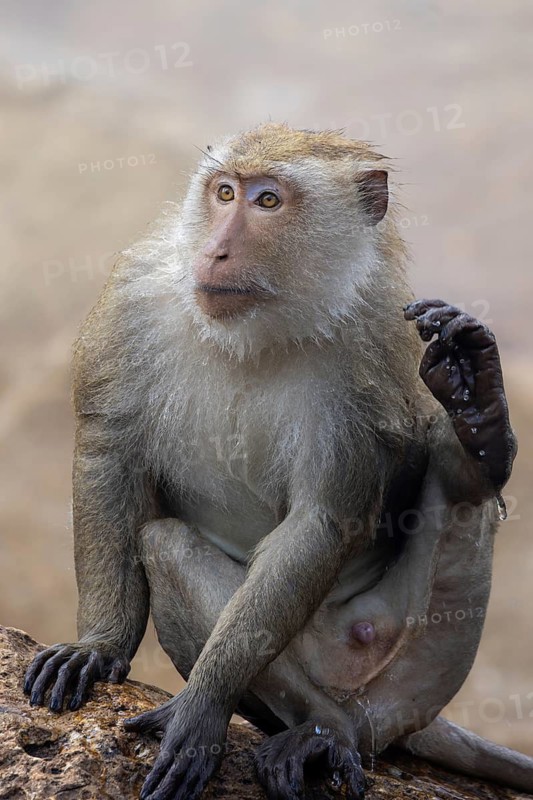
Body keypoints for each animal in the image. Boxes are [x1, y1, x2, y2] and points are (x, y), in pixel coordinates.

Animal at [22, 124, 528, 800]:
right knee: (166, 545)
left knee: (456, 488)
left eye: (268, 201)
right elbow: (108, 455)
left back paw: (478, 416)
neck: (257, 328)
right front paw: (98, 646)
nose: (215, 252)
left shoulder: (366, 343)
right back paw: (318, 722)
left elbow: (320, 522)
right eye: (225, 192)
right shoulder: (133, 301)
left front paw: (203, 705)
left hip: (420, 669)